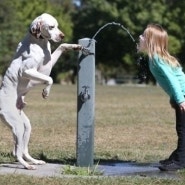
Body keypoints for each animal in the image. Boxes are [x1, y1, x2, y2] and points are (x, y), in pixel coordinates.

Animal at [0, 12, 82, 169]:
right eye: (51, 27)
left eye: (57, 25)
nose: (62, 35)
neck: (39, 43)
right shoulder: (27, 71)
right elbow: (49, 79)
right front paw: (46, 92)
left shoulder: (48, 65)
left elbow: (61, 47)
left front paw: (74, 46)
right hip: (18, 126)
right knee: (17, 153)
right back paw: (27, 165)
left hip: (26, 126)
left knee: (22, 150)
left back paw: (34, 161)